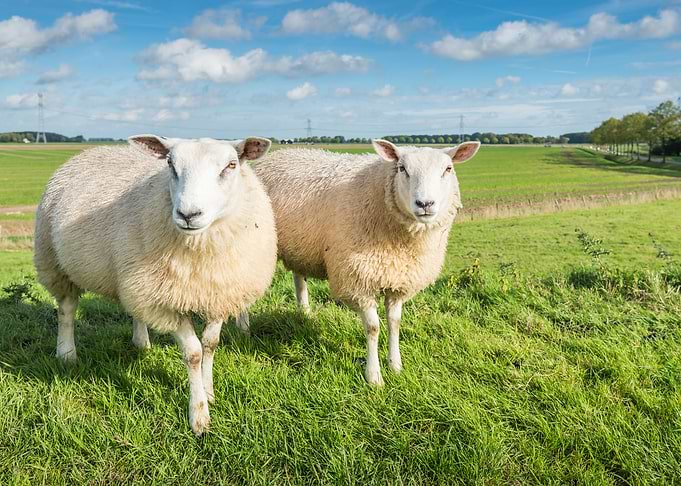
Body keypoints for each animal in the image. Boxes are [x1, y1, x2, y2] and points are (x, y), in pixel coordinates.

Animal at [34, 135, 277, 435]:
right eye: (170, 164)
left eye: (231, 165)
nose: (188, 214)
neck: (202, 248)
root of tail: (90, 151)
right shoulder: (166, 302)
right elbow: (193, 353)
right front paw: (198, 415)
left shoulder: (220, 290)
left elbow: (210, 344)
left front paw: (208, 391)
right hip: (54, 261)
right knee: (66, 310)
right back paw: (67, 353)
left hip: (134, 278)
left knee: (133, 309)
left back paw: (141, 343)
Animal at [253, 139, 480, 385]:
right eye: (402, 168)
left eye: (448, 169)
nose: (425, 203)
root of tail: (278, 155)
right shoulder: (358, 280)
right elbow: (373, 328)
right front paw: (374, 377)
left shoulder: (398, 279)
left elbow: (394, 323)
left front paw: (395, 365)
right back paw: (244, 328)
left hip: (300, 246)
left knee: (299, 278)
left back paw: (304, 313)